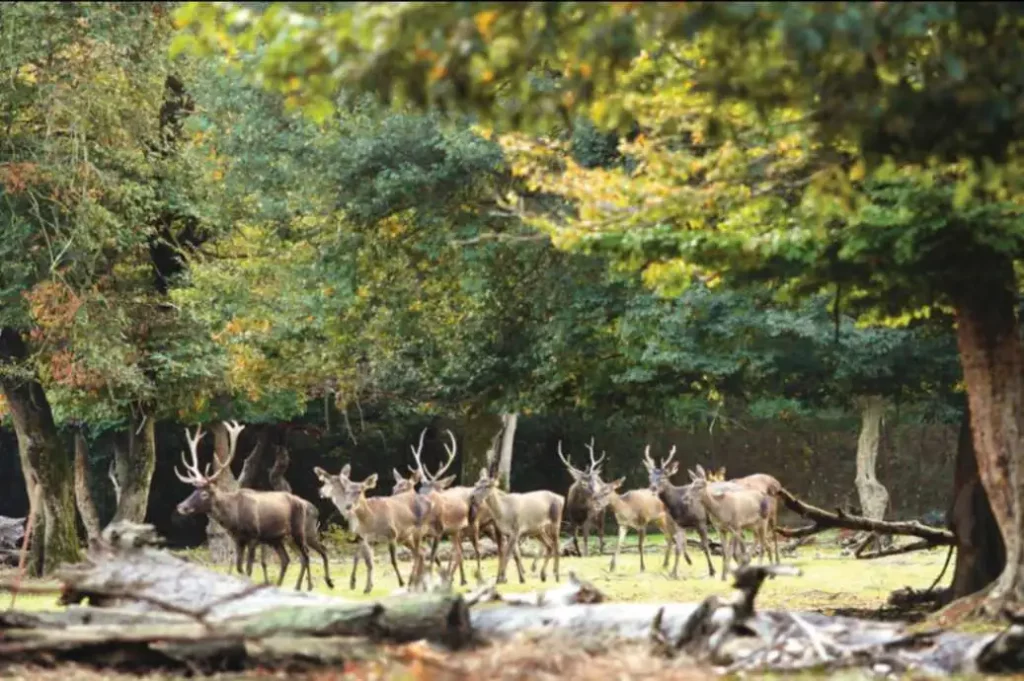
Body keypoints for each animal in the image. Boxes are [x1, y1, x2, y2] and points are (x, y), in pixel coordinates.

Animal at [174, 419, 333, 589]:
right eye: (193, 490)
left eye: (204, 493)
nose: (181, 506)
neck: (234, 518)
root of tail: (307, 505)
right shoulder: (238, 539)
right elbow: (239, 567)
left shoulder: (254, 536)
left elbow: (249, 568)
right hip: (277, 538)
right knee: (288, 559)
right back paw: (281, 585)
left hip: (299, 531)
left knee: (308, 554)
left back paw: (311, 585)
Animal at [643, 440, 716, 577]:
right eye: (650, 476)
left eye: (663, 477)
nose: (653, 488)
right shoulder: (679, 524)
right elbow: (678, 547)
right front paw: (673, 573)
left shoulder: (701, 520)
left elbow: (705, 546)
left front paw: (712, 571)